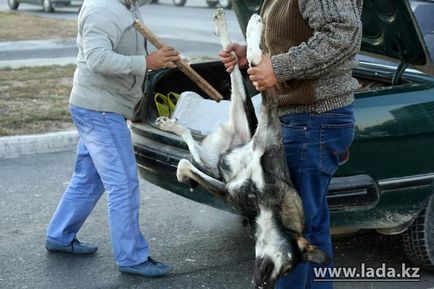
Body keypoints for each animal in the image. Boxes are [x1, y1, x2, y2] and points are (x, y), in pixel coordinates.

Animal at [156, 9, 328, 288]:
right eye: (288, 265)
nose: (262, 284)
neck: (265, 205)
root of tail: (239, 136)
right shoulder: (269, 123)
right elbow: (257, 60)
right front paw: (255, 36)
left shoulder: (227, 190)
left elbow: (184, 166)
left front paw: (184, 176)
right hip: (243, 121)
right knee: (235, 65)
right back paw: (234, 28)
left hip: (214, 152)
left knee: (195, 146)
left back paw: (173, 125)